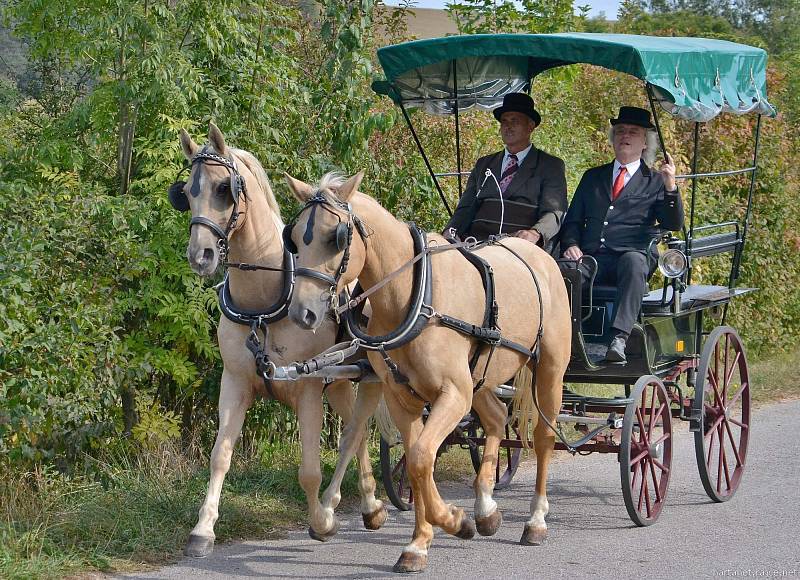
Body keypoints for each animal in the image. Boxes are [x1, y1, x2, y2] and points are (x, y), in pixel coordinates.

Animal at [171, 124, 388, 556]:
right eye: (186, 191)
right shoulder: (235, 382)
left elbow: (309, 470)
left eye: (223, 188)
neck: (265, 304)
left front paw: (321, 522)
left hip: (361, 379)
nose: (200, 255)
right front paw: (203, 529)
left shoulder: (307, 391)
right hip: (339, 384)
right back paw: (369, 504)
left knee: (358, 431)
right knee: (355, 433)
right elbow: (220, 456)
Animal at [284, 171, 572, 572]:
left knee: (544, 438)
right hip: (482, 378)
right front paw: (420, 542)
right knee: (496, 419)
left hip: (548, 371)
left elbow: (421, 458)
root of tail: (540, 256)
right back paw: (486, 509)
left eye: (335, 237)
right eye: (294, 239)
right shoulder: (403, 397)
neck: (414, 295)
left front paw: (453, 520)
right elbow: (418, 463)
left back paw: (535, 521)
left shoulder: (452, 394)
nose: (303, 313)